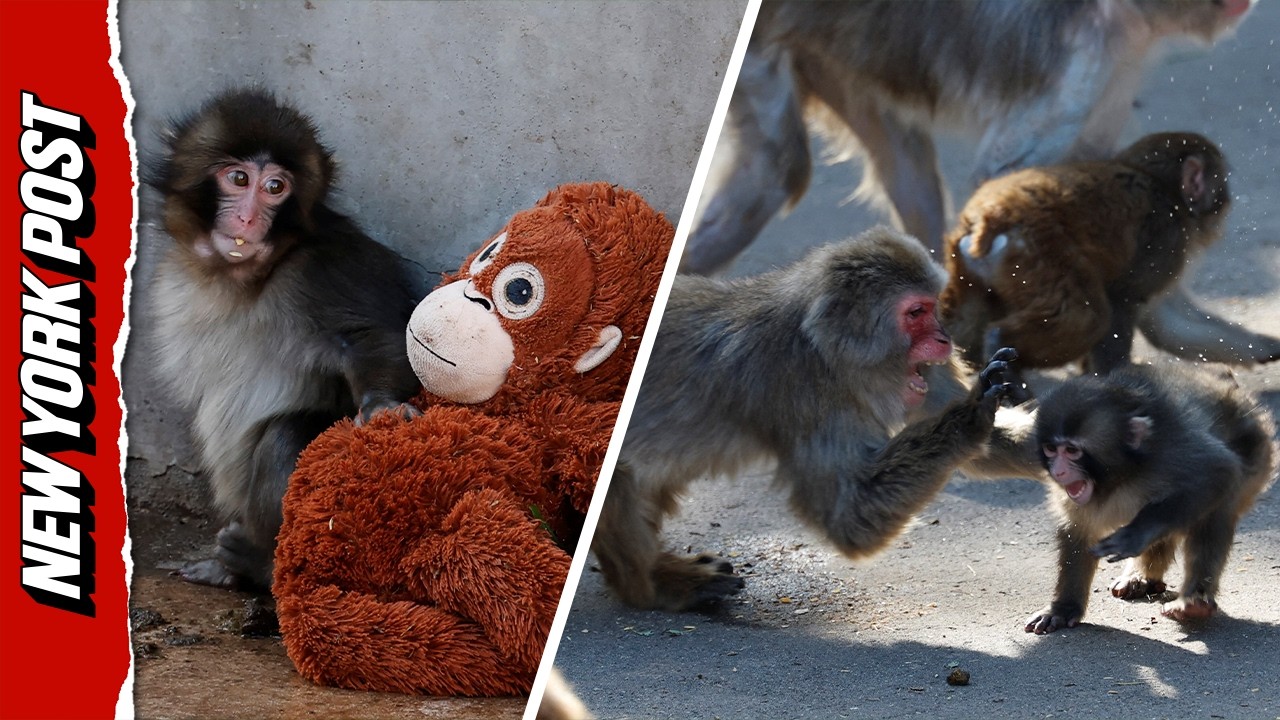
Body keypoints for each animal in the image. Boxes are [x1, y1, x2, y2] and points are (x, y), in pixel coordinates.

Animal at [149, 89, 427, 590]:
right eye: (239, 179)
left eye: (275, 188)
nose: (247, 217)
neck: (245, 278)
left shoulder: (324, 267)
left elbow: (374, 335)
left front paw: (383, 406)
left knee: (286, 435)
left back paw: (257, 565)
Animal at [592, 226, 1043, 611]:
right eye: (916, 312)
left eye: (933, 309)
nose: (944, 339)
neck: (827, 351)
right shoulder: (802, 392)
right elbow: (850, 516)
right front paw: (971, 415)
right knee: (619, 478)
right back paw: (650, 584)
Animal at [939, 132, 1272, 375]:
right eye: (1221, 185)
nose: (1227, 199)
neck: (1161, 186)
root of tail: (986, 218)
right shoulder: (1166, 239)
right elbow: (1122, 300)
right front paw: (1115, 380)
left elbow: (1167, 325)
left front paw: (1268, 347)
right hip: (1036, 253)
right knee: (1089, 317)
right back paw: (1001, 347)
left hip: (969, 267)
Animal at [1024, 363, 1275, 634]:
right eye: (1051, 449)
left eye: (1072, 450)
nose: (1058, 471)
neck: (1120, 476)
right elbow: (1077, 529)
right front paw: (1063, 608)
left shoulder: (1170, 449)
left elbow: (1219, 470)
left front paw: (1134, 535)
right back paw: (1144, 576)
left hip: (1256, 451)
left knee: (1216, 508)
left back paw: (1192, 602)